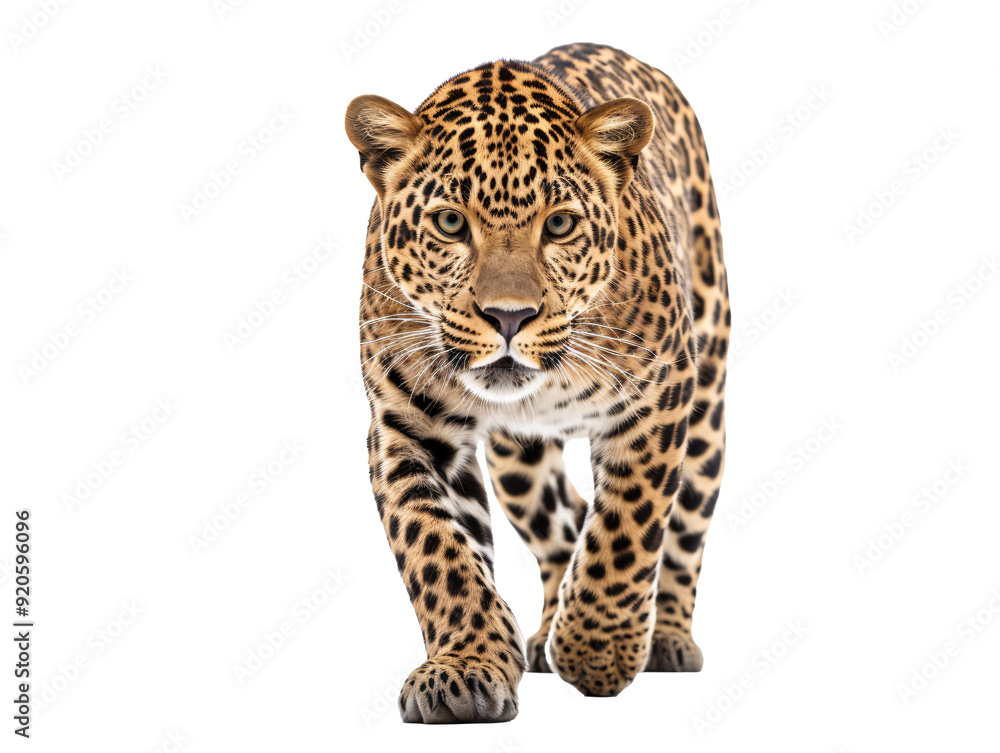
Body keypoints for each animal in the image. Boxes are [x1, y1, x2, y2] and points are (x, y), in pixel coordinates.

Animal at [345, 42, 729, 723]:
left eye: (559, 225)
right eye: (450, 223)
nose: (508, 317)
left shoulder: (658, 399)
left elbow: (627, 533)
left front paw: (597, 653)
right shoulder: (405, 428)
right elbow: (438, 552)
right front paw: (467, 667)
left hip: (707, 404)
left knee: (683, 532)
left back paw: (665, 639)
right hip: (518, 461)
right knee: (563, 524)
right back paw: (545, 633)